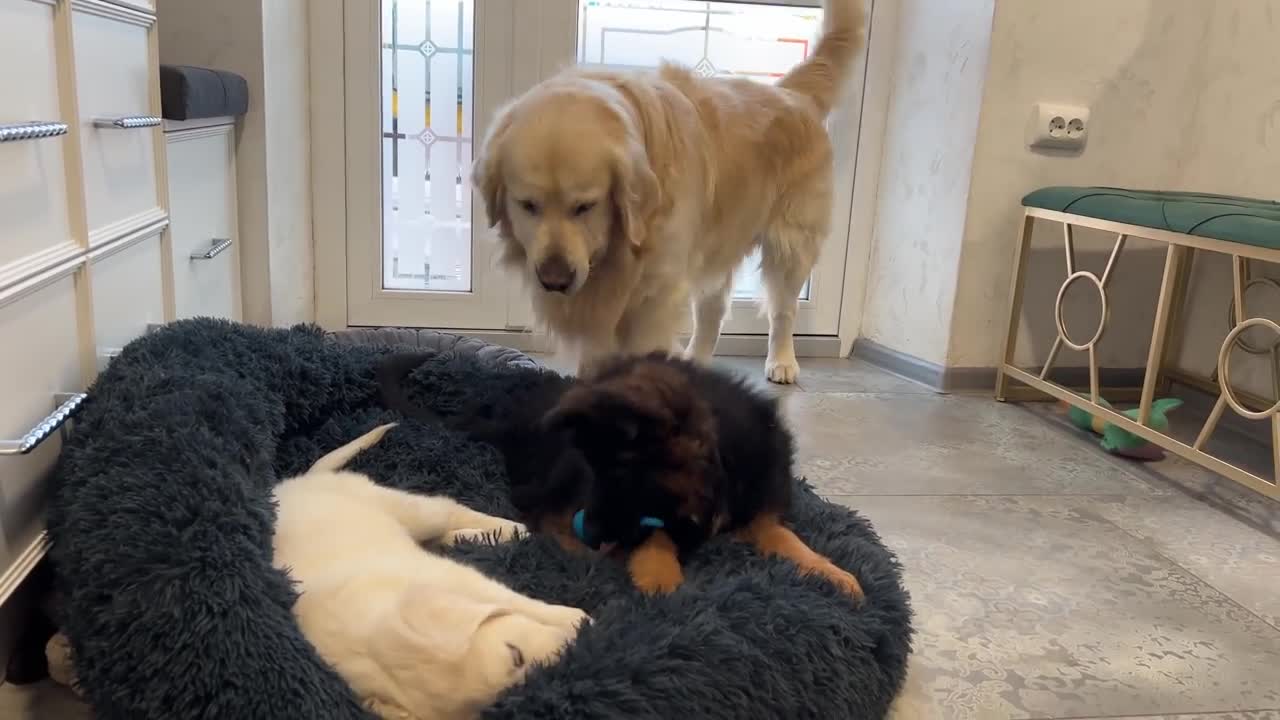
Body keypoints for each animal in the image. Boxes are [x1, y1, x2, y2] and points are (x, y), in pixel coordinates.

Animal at [275, 422, 588, 712]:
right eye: (499, 700)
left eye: (515, 654)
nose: (570, 655)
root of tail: (296, 482)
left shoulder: (453, 575)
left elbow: (515, 600)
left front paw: (577, 619)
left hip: (409, 510)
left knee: (448, 509)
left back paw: (511, 529)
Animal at [373, 351, 865, 597]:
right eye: (601, 476)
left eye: (624, 479)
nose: (592, 534)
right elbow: (656, 535)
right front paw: (659, 576)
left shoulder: (756, 507)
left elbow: (786, 538)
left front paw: (830, 573)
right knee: (540, 515)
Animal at [476, 0, 865, 381]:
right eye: (527, 205)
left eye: (586, 206)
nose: (555, 280)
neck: (618, 250)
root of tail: (789, 92)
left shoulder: (655, 293)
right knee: (713, 310)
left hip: (792, 242)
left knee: (783, 309)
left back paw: (782, 361)